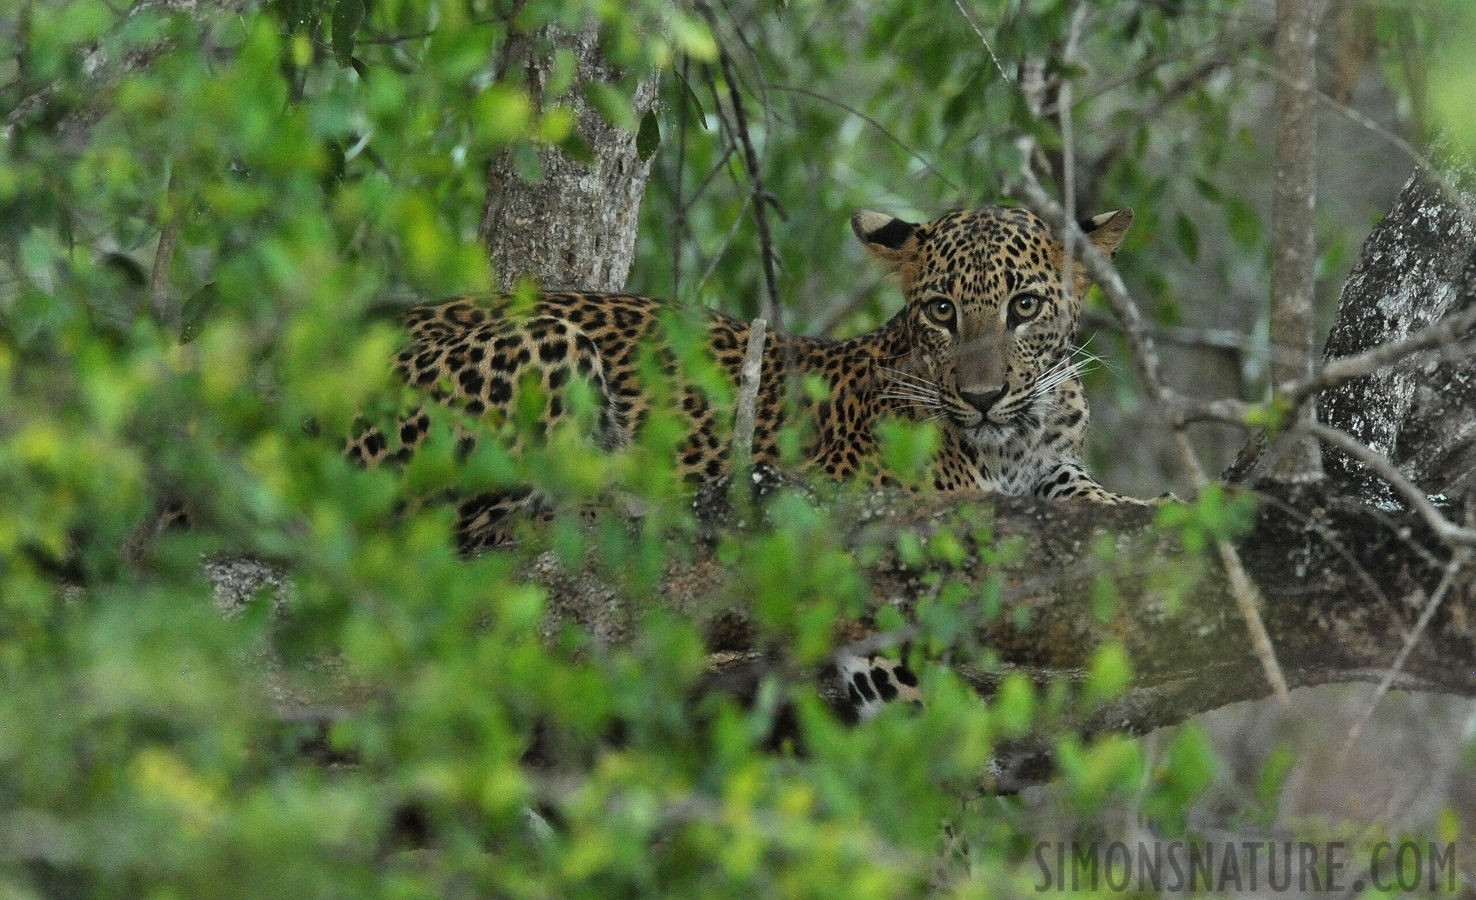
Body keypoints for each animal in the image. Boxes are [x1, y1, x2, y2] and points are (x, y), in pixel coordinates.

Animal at [345, 202, 1139, 714]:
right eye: (943, 311)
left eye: (1025, 306)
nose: (980, 397)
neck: (1014, 441)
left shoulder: (1055, 470)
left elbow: (1103, 503)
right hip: (548, 342)